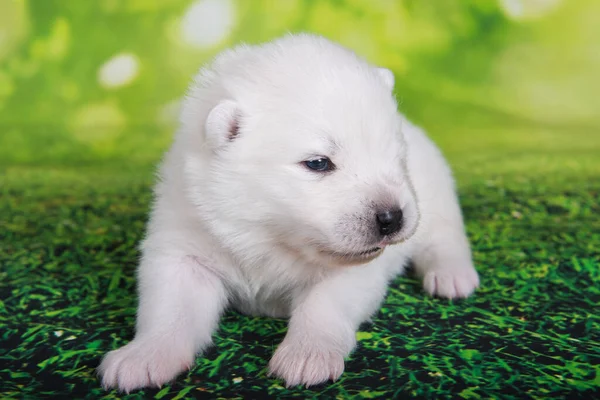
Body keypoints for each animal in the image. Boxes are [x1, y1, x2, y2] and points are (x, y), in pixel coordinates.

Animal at [101, 33, 480, 390]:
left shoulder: (354, 269)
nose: (392, 217)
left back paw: (452, 276)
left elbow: (324, 304)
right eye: (318, 163)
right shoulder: (184, 240)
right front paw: (142, 357)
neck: (267, 235)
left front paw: (306, 356)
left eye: (397, 156)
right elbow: (171, 304)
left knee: (445, 236)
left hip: (435, 192)